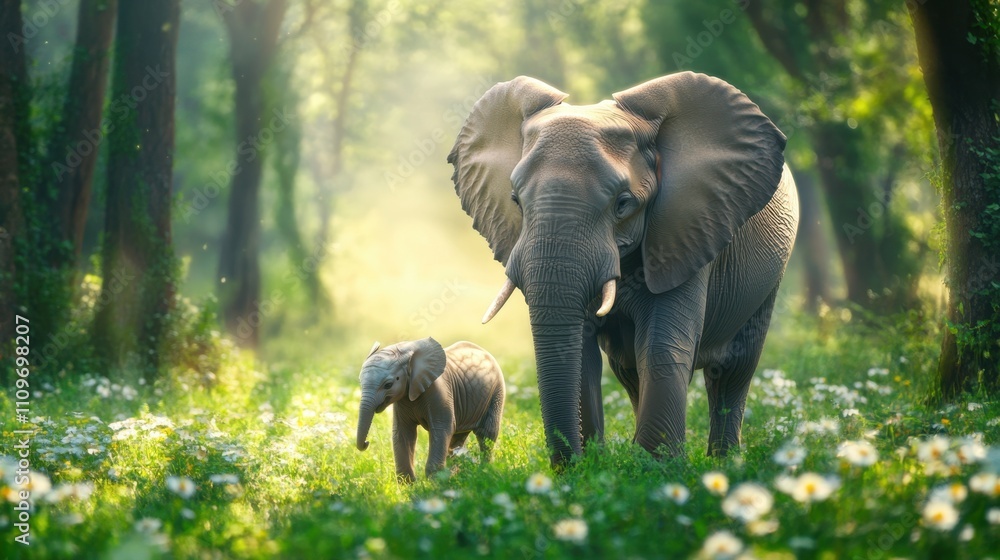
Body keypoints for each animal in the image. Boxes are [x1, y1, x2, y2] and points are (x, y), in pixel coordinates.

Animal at [355, 337, 505, 482]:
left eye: (388, 385)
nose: (367, 443)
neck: (405, 352)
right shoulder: (402, 399)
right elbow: (402, 432)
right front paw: (408, 485)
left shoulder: (439, 392)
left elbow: (441, 429)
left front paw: (435, 482)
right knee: (457, 440)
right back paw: (456, 475)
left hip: (497, 392)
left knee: (486, 434)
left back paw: (483, 472)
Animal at [447, 71, 799, 466]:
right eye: (515, 200)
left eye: (623, 204)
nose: (569, 464)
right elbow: (581, 353)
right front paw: (595, 468)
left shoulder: (687, 228)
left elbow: (662, 347)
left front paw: (656, 468)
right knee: (629, 369)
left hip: (772, 271)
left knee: (734, 367)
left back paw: (723, 461)